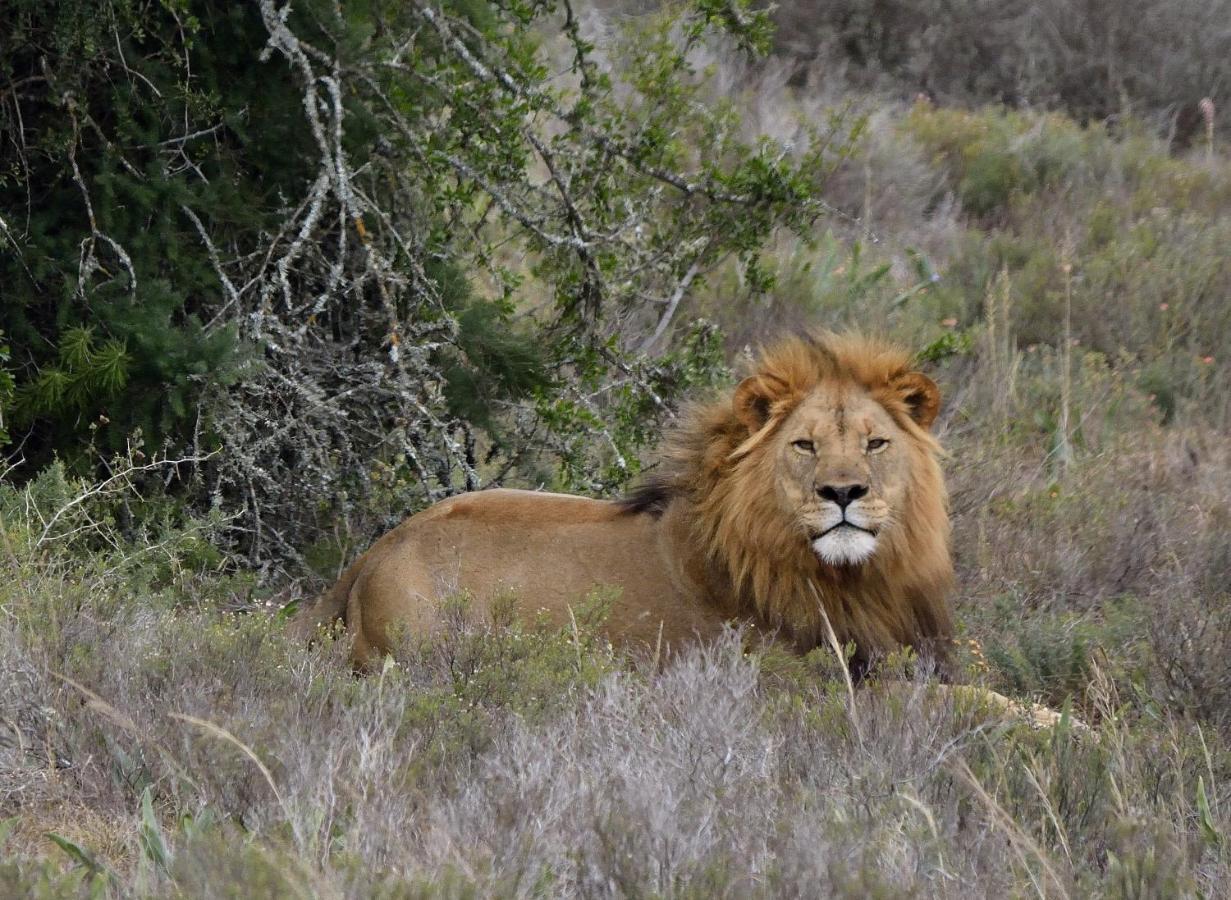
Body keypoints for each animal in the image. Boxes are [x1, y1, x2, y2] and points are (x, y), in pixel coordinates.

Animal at [288, 334, 1078, 728]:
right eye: (805, 446)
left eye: (875, 443)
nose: (843, 494)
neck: (847, 575)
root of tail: (368, 556)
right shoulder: (814, 687)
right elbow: (973, 705)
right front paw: (1078, 732)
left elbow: (994, 694)